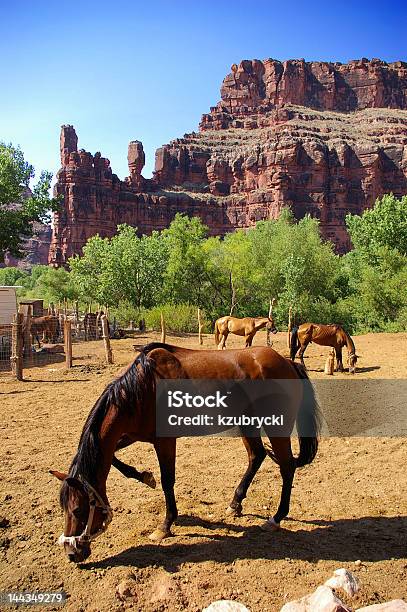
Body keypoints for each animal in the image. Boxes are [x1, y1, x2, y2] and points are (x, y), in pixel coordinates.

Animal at [49, 342, 322, 560]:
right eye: (63, 508)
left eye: (78, 509)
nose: (72, 552)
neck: (142, 387)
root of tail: (287, 362)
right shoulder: (128, 436)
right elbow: (116, 460)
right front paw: (145, 477)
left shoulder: (165, 441)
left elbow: (168, 481)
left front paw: (165, 525)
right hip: (248, 423)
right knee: (257, 456)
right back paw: (235, 504)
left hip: (276, 427)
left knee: (286, 466)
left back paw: (276, 518)